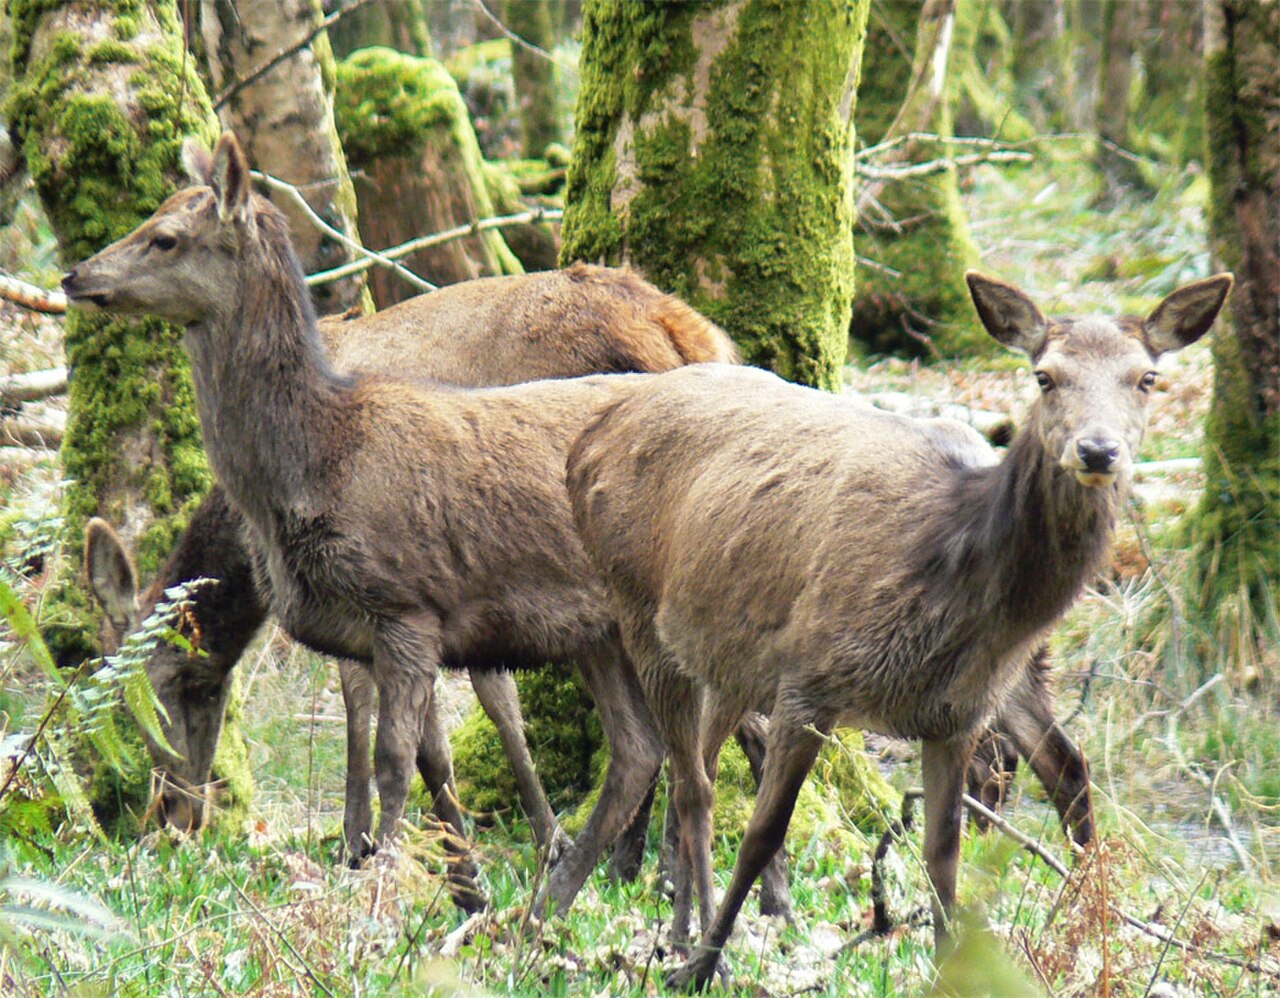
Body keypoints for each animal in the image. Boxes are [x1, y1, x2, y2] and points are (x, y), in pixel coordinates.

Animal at [62, 134, 691, 921]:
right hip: (606, 628)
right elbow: (428, 749)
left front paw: (375, 875)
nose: (172, 814)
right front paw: (463, 883)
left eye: (165, 236)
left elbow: (394, 746)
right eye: (118, 698)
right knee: (648, 745)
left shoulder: (405, 606)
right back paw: (576, 902)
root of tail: (681, 331)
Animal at [568, 268, 1228, 987]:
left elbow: (944, 858)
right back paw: (689, 943)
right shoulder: (810, 678)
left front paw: (946, 973)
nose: (1099, 450)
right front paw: (702, 967)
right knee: (691, 784)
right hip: (640, 610)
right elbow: (764, 833)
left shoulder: (957, 714)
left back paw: (680, 922)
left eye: (1147, 378)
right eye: (1045, 376)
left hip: (727, 655)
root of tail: (591, 438)